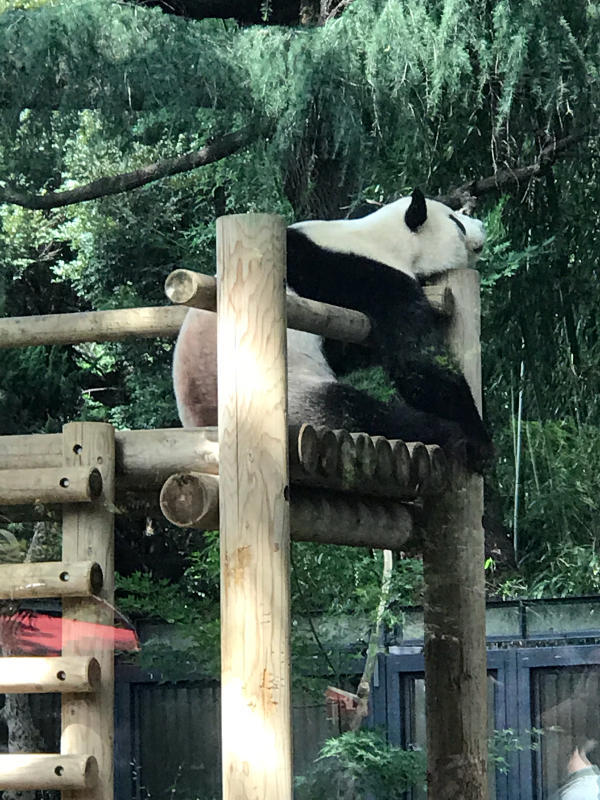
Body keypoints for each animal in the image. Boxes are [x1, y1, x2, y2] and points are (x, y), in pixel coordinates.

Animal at [172, 189, 492, 468]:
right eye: (456, 222)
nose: (481, 226)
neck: (383, 238)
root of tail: (204, 425)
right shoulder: (358, 273)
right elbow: (416, 358)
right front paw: (478, 438)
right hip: (289, 401)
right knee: (358, 412)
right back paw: (444, 432)